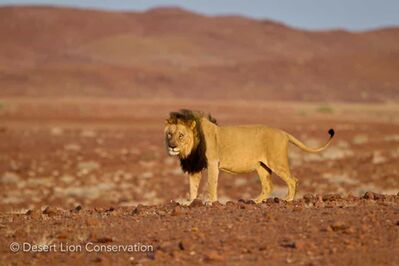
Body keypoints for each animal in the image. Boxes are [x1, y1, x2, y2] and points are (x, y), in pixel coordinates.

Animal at [164, 109, 336, 203]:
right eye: (170, 134)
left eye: (181, 135)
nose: (172, 146)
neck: (190, 148)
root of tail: (284, 132)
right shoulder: (195, 166)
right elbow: (192, 186)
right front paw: (189, 203)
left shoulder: (212, 162)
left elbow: (211, 183)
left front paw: (210, 202)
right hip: (261, 166)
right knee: (268, 186)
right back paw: (256, 201)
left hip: (276, 161)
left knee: (293, 180)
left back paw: (287, 199)